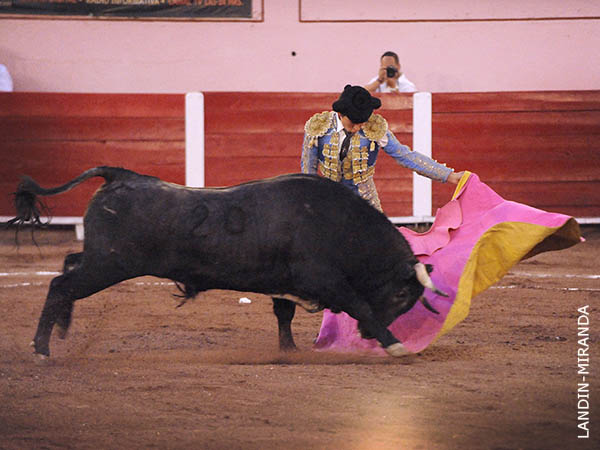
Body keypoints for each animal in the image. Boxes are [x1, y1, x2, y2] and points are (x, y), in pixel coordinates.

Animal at [7, 166, 442, 358]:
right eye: (401, 295)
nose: (368, 337)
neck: (340, 223)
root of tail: (119, 175)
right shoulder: (323, 279)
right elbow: (361, 304)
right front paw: (395, 344)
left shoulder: (285, 282)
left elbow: (283, 314)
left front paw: (288, 351)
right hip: (111, 264)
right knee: (61, 284)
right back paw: (42, 348)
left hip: (101, 258)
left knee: (68, 264)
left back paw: (60, 329)